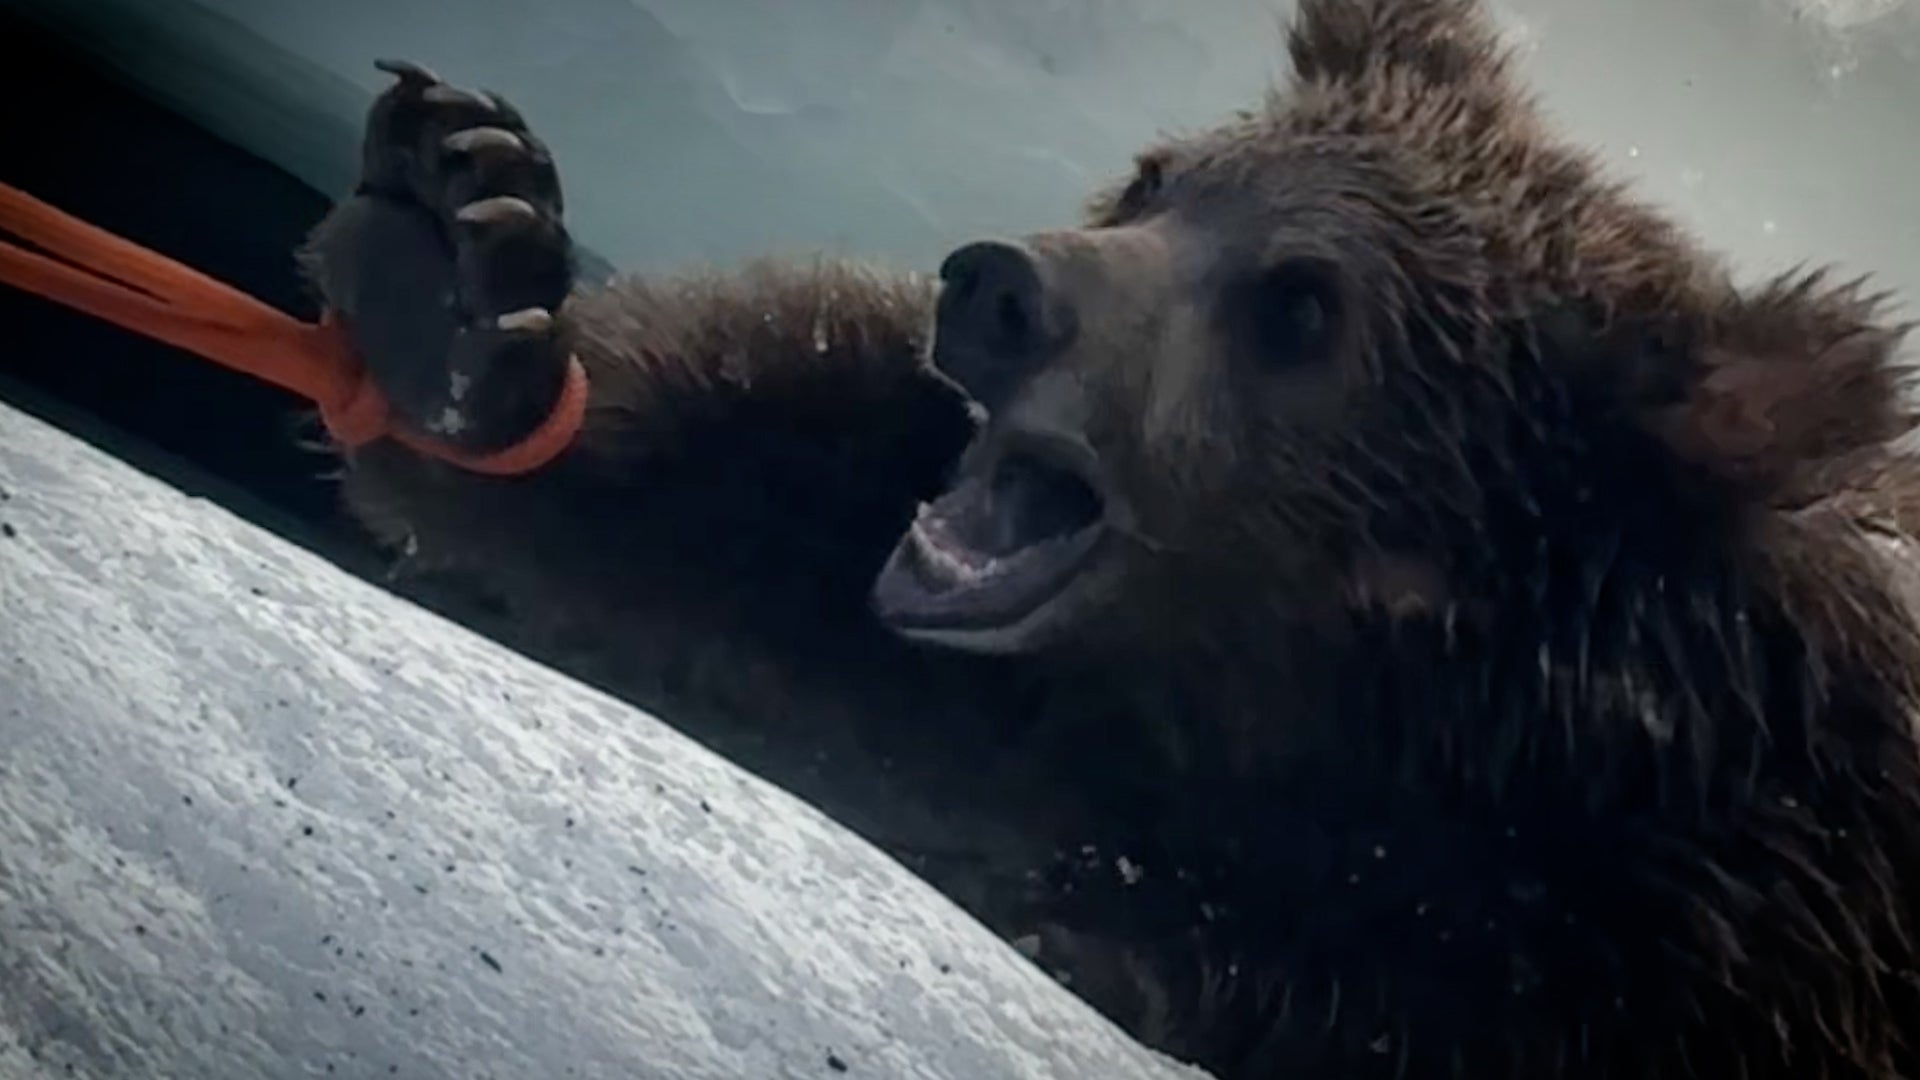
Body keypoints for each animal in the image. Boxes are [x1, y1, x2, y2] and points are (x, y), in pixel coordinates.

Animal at [296, 0, 1920, 1077]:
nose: (1002, 285)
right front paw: (456, 272)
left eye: (1302, 306)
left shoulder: (1714, 913)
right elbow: (682, 476)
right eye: (1162, 177)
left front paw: (1103, 935)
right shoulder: (865, 520)